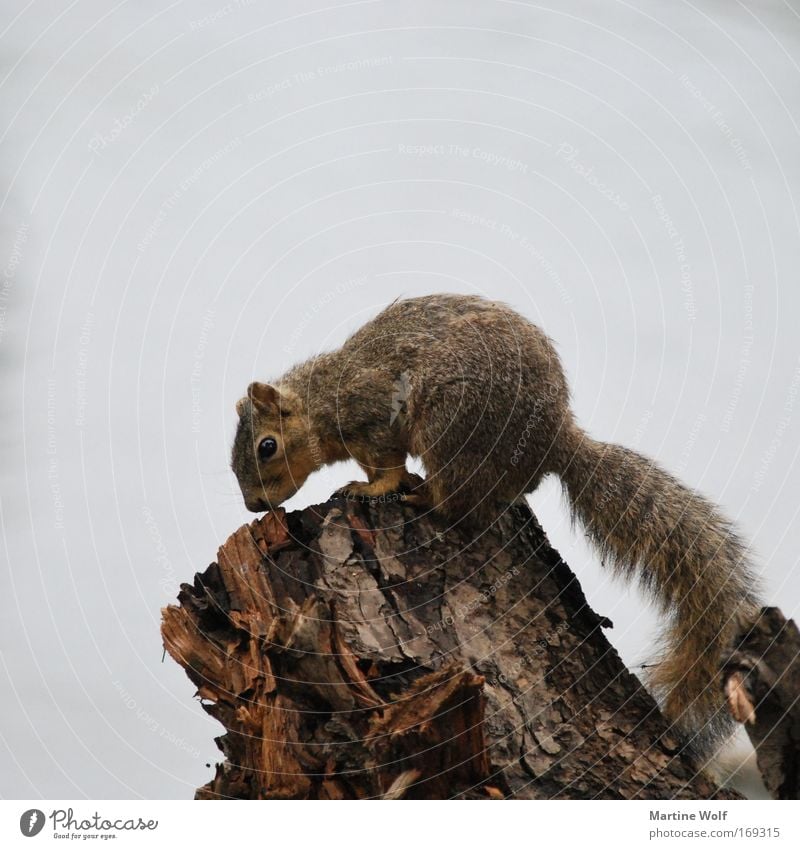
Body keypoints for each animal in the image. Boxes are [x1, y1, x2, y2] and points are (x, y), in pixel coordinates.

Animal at [230, 294, 756, 756]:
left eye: (267, 446)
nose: (254, 506)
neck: (322, 400)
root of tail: (554, 440)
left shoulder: (372, 418)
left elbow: (386, 468)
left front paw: (369, 488)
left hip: (452, 425)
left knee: (461, 503)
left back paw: (425, 496)